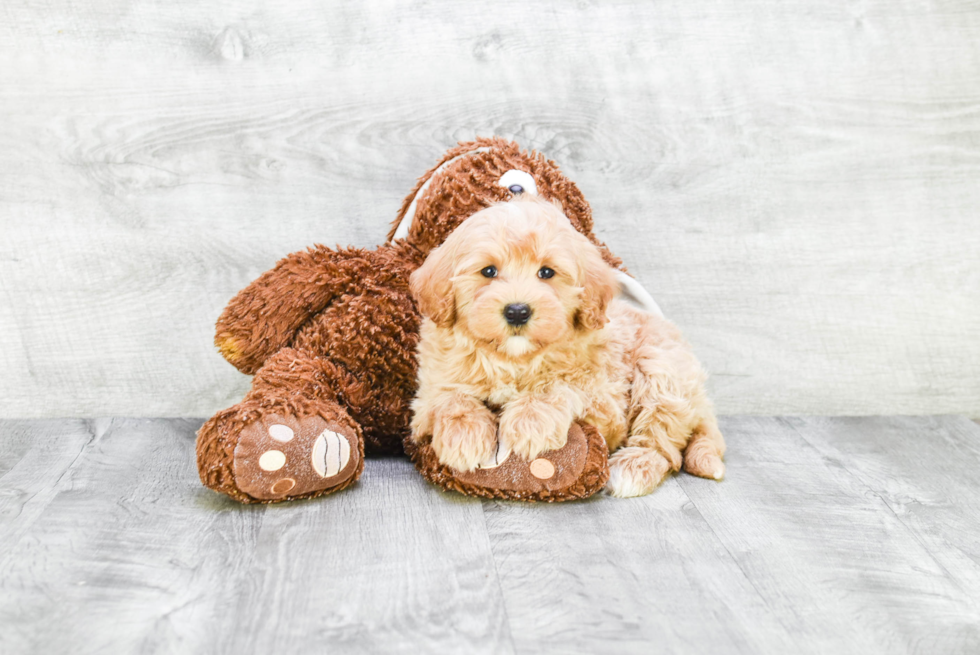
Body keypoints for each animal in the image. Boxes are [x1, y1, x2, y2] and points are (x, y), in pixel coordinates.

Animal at [406, 195, 720, 498]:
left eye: (546, 273)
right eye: (488, 271)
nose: (517, 311)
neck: (514, 359)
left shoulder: (605, 401)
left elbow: (559, 385)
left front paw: (529, 421)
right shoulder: (428, 391)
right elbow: (450, 398)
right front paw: (463, 435)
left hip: (661, 368)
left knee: (664, 444)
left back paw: (633, 468)